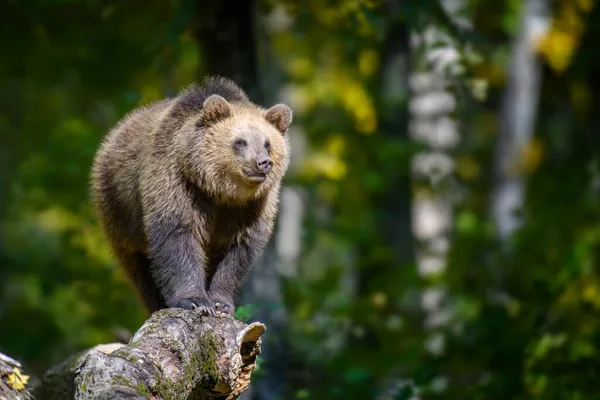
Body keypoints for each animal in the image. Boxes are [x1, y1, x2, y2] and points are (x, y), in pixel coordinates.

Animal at [89, 76, 292, 316]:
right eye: (240, 141)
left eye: (267, 143)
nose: (263, 162)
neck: (221, 191)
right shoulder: (178, 185)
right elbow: (177, 237)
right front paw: (195, 300)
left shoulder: (251, 207)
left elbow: (238, 250)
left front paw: (220, 302)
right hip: (121, 214)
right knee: (139, 269)